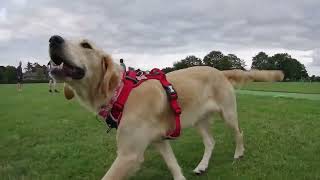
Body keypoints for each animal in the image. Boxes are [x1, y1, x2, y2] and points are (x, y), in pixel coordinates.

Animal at [47, 34, 282, 179]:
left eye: (86, 45)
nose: (53, 39)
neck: (121, 92)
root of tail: (219, 71)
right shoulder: (160, 140)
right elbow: (173, 165)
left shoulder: (129, 154)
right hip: (198, 119)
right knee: (211, 142)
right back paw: (202, 165)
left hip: (228, 114)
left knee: (239, 133)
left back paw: (238, 154)